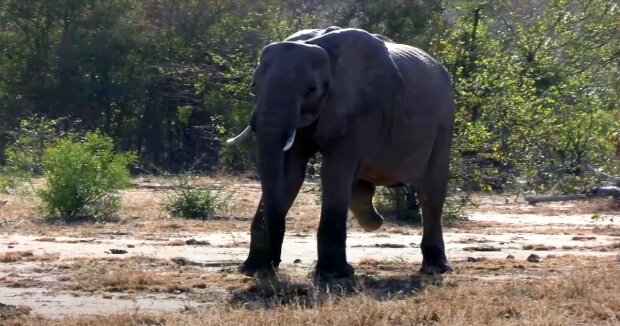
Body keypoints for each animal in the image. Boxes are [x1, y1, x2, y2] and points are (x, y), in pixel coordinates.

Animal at [226, 26, 456, 280]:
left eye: (310, 90)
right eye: (254, 87)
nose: (273, 264)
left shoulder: (362, 107)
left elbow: (335, 171)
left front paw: (334, 275)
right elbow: (289, 174)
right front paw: (255, 270)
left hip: (444, 122)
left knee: (431, 191)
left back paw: (434, 268)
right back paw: (372, 218)